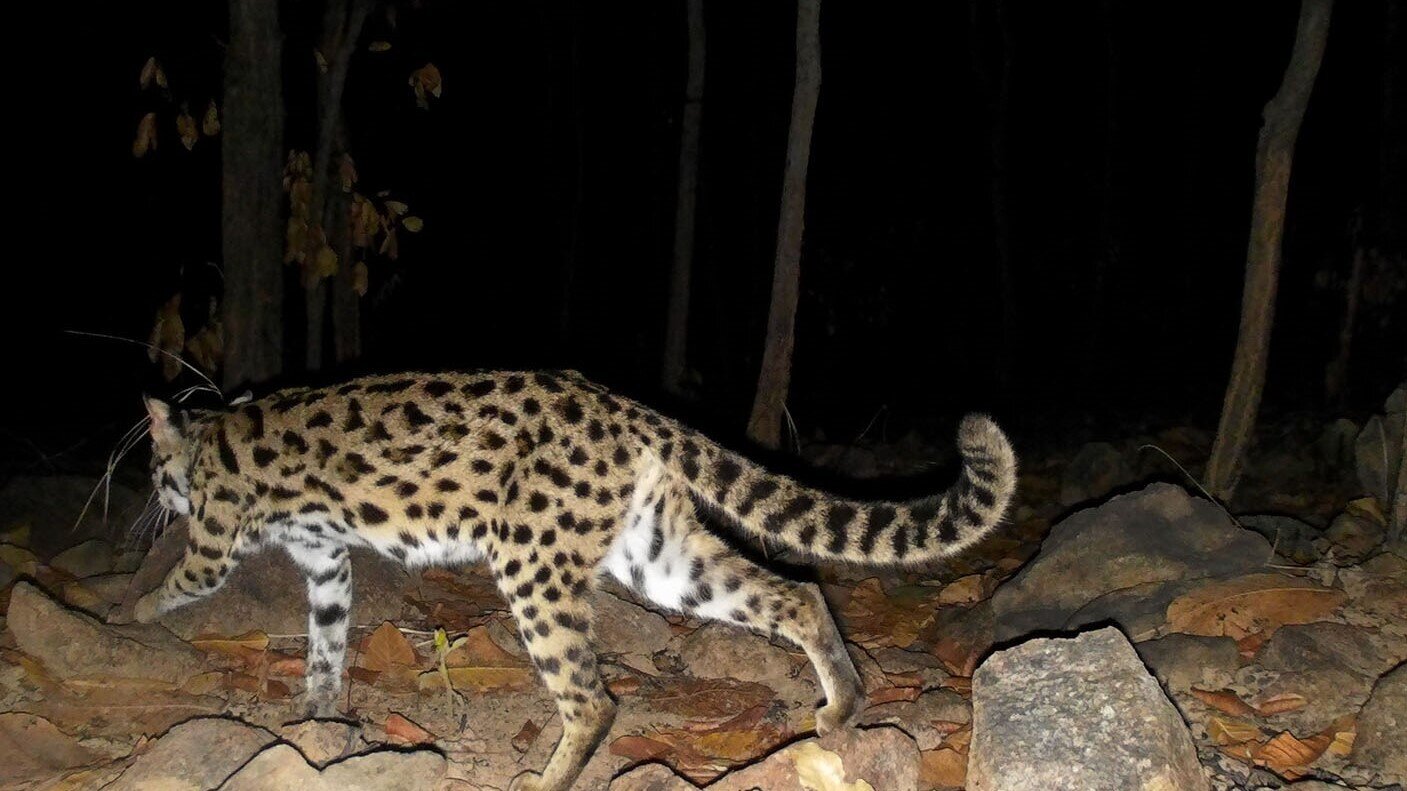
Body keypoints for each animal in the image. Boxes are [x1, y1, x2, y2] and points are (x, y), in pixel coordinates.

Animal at [129, 368, 1013, 788]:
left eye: (152, 465)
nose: (153, 493)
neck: (210, 437)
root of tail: (627, 408)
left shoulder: (215, 539)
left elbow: (181, 582)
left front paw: (132, 607)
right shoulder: (324, 560)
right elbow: (326, 636)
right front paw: (316, 712)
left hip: (530, 558)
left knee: (593, 700)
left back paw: (543, 780)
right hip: (662, 555)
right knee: (796, 590)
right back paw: (841, 703)